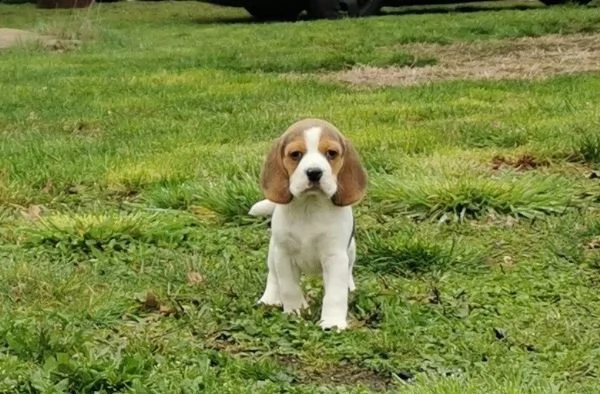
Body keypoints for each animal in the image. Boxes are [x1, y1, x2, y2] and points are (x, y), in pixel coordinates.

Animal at [247, 118, 366, 330]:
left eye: (331, 153)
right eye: (295, 154)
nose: (314, 172)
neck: (309, 207)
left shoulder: (335, 256)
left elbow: (335, 294)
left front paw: (332, 322)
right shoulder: (284, 254)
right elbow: (288, 287)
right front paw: (296, 312)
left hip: (351, 249)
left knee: (349, 269)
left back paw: (350, 286)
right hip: (273, 251)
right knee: (273, 276)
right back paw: (269, 298)